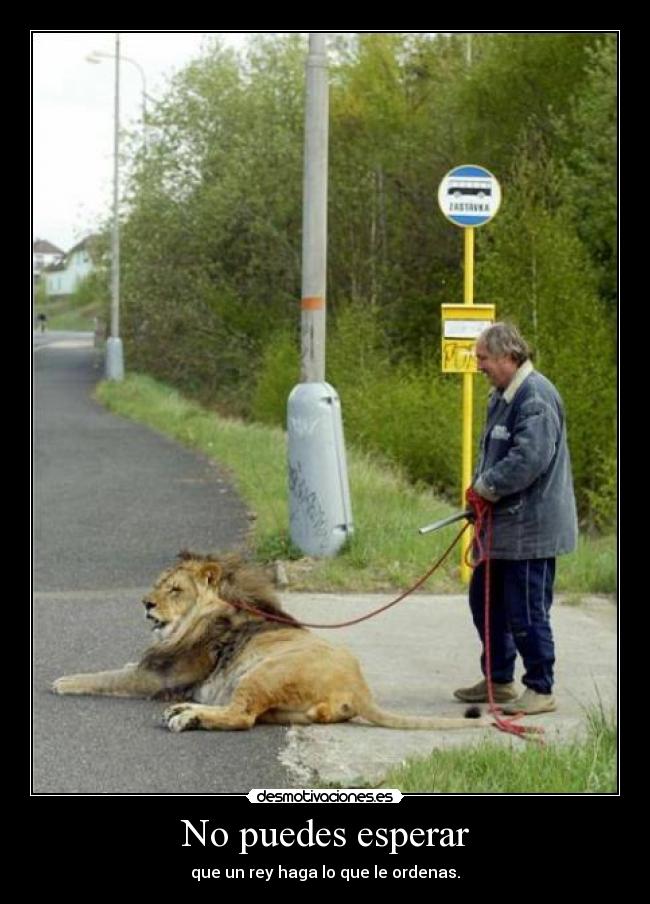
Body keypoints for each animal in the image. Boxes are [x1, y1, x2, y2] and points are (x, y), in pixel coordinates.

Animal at [53, 552, 488, 736]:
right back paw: (186, 712)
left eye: (175, 590)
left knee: (241, 717)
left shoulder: (158, 679)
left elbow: (102, 676)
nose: (146, 603)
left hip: (263, 673)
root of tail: (359, 690)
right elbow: (122, 667)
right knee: (243, 713)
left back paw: (186, 718)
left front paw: (61, 681)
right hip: (282, 705)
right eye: (158, 584)